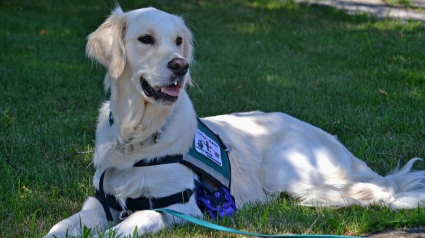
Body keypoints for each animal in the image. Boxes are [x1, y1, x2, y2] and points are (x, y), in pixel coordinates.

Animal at [44, 6, 424, 238]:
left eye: (178, 40)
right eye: (145, 39)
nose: (181, 65)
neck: (137, 138)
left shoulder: (179, 206)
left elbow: (133, 222)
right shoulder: (100, 202)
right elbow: (59, 227)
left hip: (290, 171)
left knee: (376, 192)